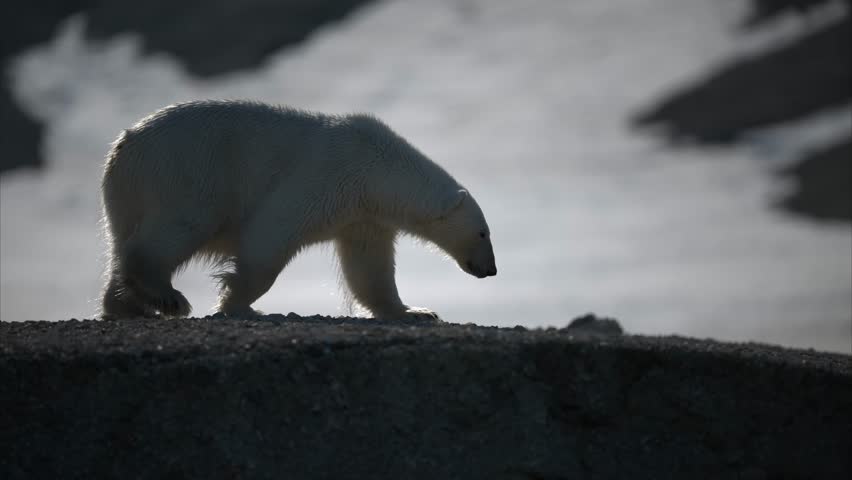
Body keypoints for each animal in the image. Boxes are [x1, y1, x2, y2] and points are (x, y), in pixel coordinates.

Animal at [99, 99, 496, 320]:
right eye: (483, 232)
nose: (490, 270)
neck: (377, 169)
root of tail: (124, 145)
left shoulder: (362, 216)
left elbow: (370, 268)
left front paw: (417, 312)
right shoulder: (326, 176)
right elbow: (270, 233)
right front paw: (238, 303)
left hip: (128, 196)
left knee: (121, 244)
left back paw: (125, 306)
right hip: (184, 172)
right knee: (180, 226)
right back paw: (168, 298)